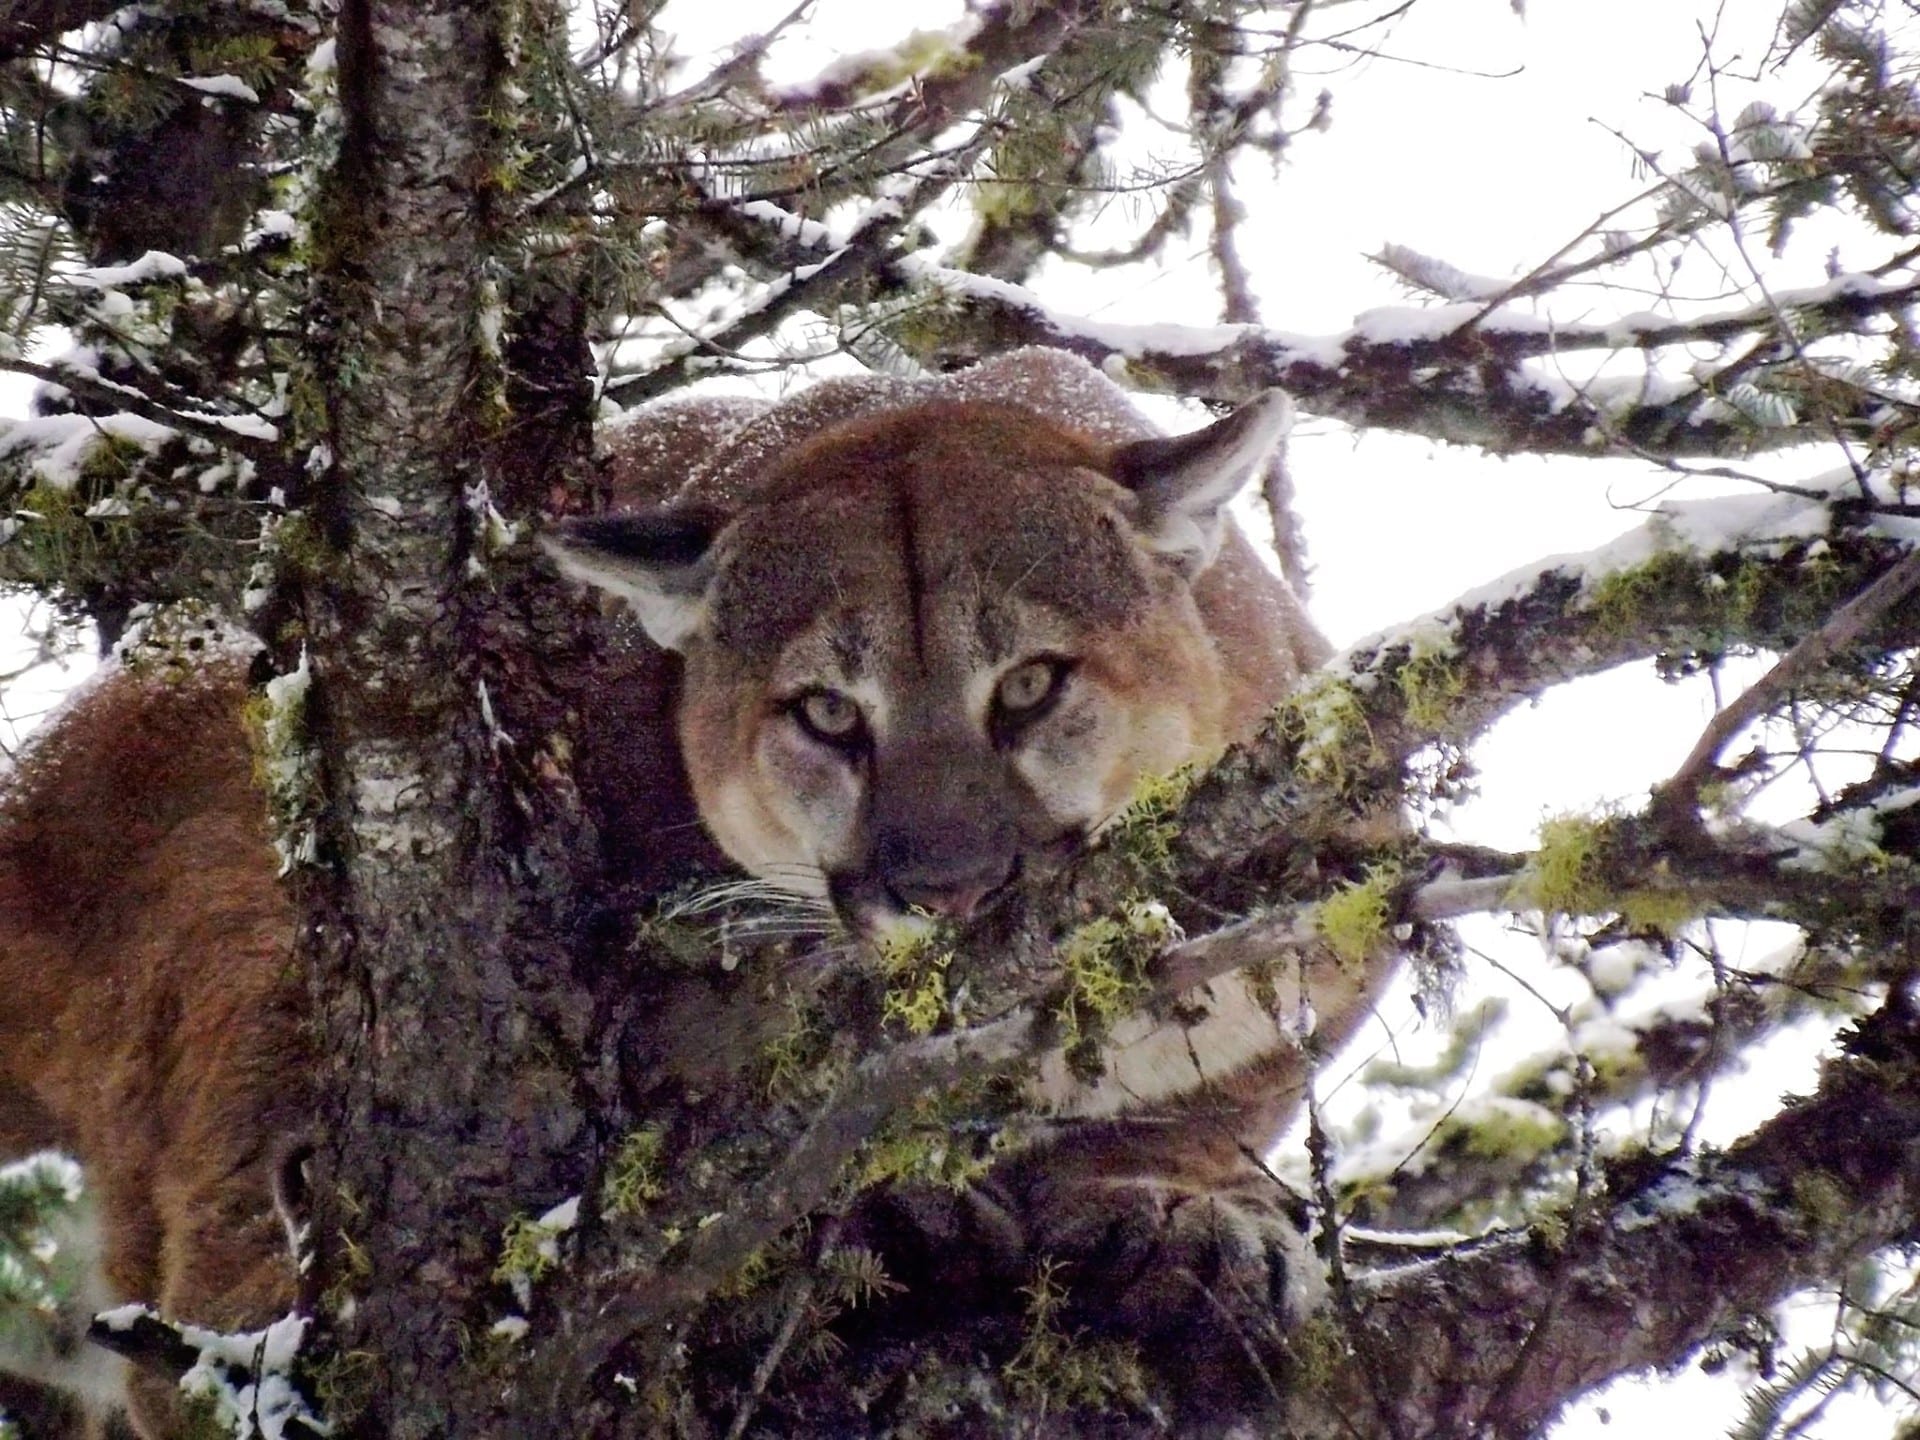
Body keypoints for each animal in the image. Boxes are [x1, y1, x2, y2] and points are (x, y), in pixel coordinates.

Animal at [0, 347, 1336, 1436]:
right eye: (827, 712)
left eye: (1030, 685)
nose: (950, 892)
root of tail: (47, 772)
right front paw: (923, 1209)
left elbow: (1221, 1095)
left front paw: (1181, 1216)